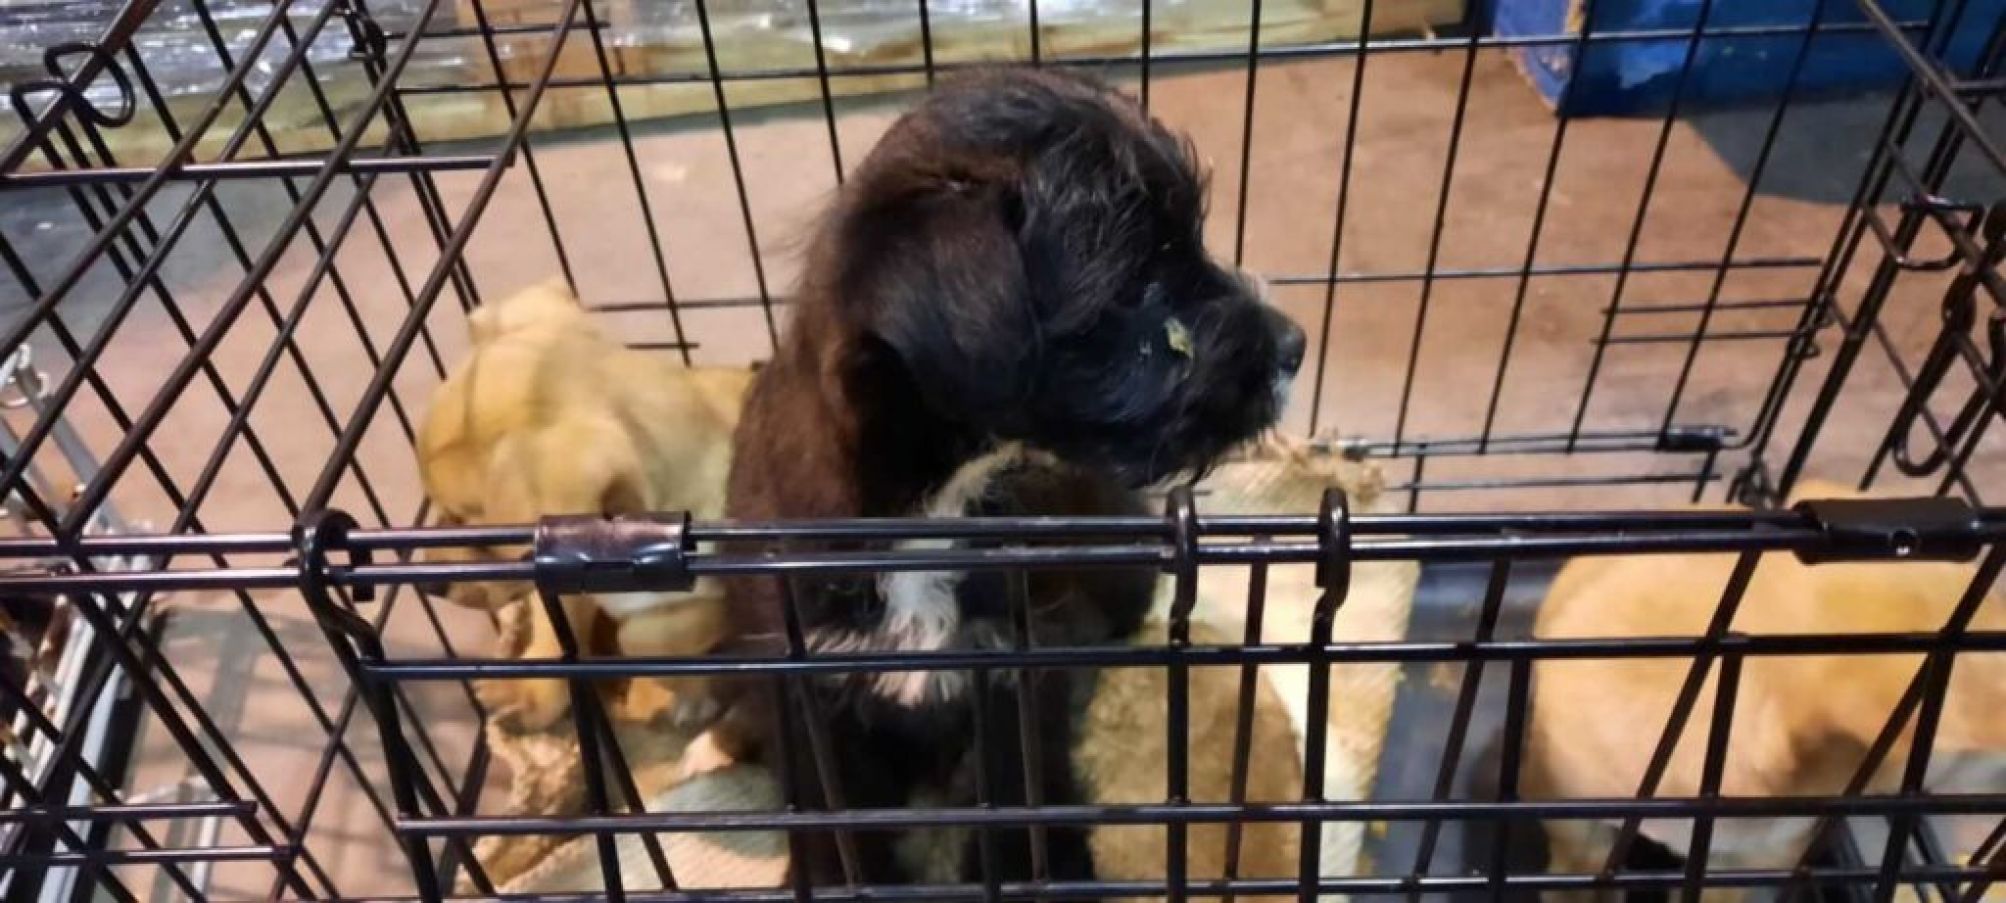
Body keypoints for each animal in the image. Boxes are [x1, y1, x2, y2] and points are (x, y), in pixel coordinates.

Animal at [417, 278, 754, 730]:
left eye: (488, 540)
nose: (429, 584)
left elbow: (644, 639)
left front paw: (686, 691)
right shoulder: (563, 579)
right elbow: (557, 634)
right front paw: (530, 692)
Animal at [714, 67, 1307, 890]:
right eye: (1138, 285)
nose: (1296, 344)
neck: (932, 508)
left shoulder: (1017, 666)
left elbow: (1018, 787)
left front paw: (1040, 867)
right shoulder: (805, 684)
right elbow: (833, 812)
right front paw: (838, 879)